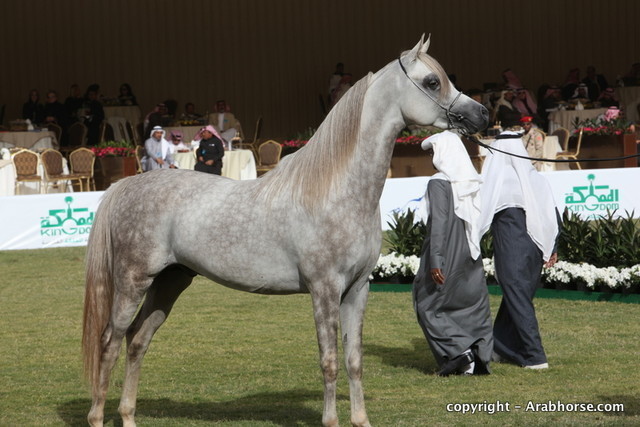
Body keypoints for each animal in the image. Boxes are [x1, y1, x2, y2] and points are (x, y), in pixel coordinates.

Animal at [82, 35, 488, 427]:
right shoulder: (324, 290)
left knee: (137, 341)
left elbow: (354, 360)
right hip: (133, 283)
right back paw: (97, 416)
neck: (335, 188)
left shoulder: (357, 290)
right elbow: (329, 361)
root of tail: (125, 186)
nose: (481, 113)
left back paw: (128, 416)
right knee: (110, 341)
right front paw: (331, 420)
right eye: (432, 81)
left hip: (170, 282)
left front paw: (360, 419)